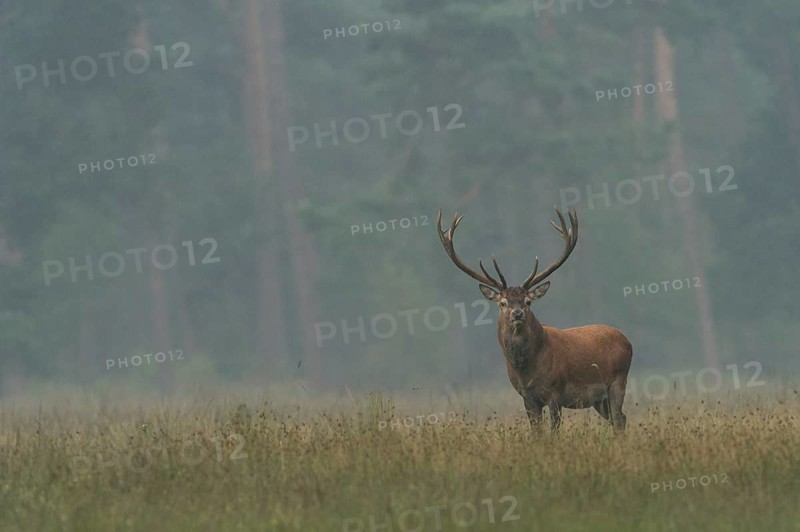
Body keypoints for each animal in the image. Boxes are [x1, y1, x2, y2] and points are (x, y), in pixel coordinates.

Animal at [436, 207, 632, 432]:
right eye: (503, 302)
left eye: (528, 301)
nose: (517, 313)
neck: (527, 370)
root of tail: (627, 341)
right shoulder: (527, 397)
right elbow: (536, 433)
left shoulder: (556, 392)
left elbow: (553, 431)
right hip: (599, 399)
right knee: (620, 419)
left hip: (618, 381)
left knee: (619, 418)